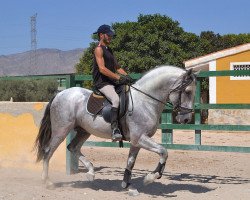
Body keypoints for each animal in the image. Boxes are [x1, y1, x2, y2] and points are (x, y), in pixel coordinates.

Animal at [33, 65, 197, 191]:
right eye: (188, 91)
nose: (186, 119)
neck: (145, 100)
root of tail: (60, 94)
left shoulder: (136, 141)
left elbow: (131, 162)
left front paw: (126, 184)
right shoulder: (140, 138)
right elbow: (164, 151)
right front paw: (151, 177)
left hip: (83, 131)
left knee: (72, 147)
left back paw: (91, 172)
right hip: (61, 130)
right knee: (48, 151)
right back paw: (47, 182)